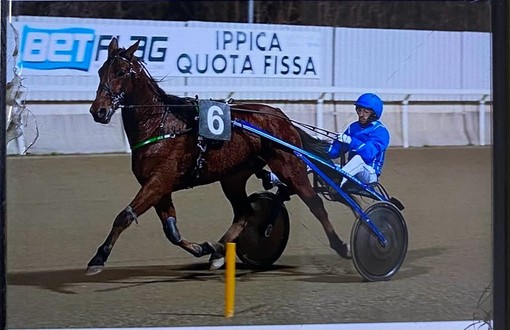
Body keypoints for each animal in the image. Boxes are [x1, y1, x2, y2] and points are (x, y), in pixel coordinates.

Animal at [87, 38, 350, 276]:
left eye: (120, 72)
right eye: (101, 71)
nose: (98, 111)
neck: (159, 125)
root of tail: (281, 115)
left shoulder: (159, 180)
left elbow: (124, 216)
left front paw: (98, 258)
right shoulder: (159, 186)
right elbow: (172, 231)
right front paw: (203, 247)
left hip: (289, 165)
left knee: (315, 203)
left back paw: (341, 246)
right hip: (233, 176)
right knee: (245, 213)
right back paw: (218, 251)